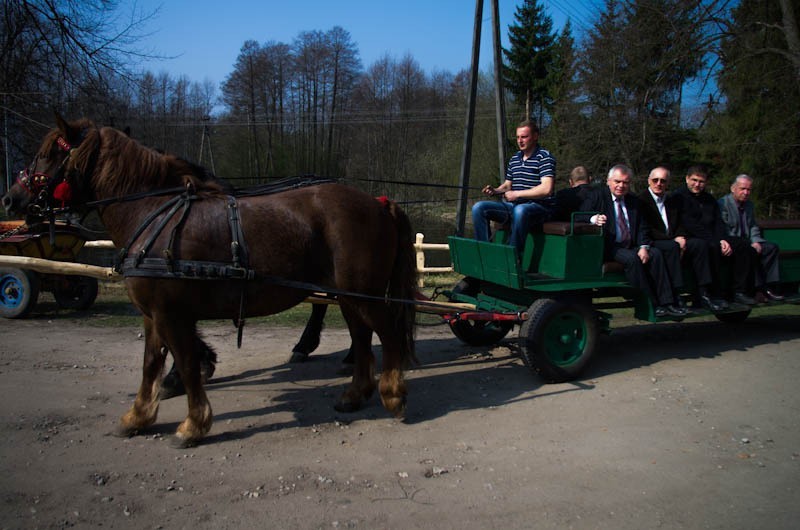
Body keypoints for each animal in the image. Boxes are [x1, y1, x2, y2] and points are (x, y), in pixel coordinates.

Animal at [4, 115, 418, 446]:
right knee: (361, 338)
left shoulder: (172, 315)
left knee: (388, 335)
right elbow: (150, 363)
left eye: (47, 154)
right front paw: (137, 416)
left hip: (362, 294)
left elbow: (187, 364)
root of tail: (378, 202)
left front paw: (193, 424)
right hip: (347, 295)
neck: (154, 213)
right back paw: (355, 394)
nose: (11, 199)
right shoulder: (153, 315)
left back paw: (393, 394)